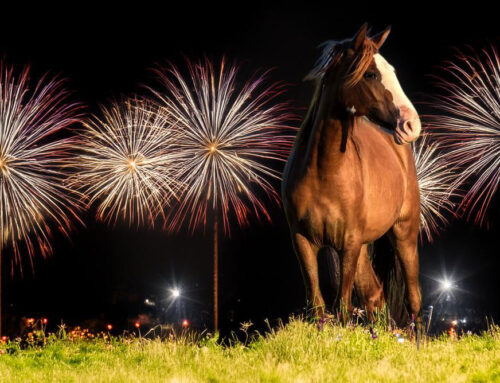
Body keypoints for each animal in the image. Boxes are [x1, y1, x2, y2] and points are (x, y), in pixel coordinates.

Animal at [282, 24, 422, 324]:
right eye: (370, 74)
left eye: (392, 70)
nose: (411, 124)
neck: (325, 172)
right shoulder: (303, 241)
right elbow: (318, 306)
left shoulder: (349, 242)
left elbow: (343, 307)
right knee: (375, 296)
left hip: (404, 233)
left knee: (413, 299)